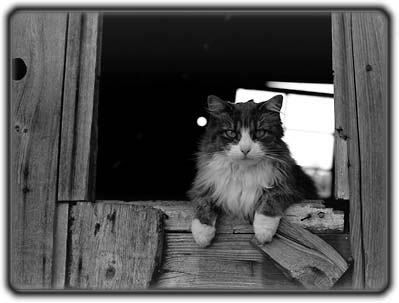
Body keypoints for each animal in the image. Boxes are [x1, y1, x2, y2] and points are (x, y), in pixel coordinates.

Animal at [189, 95, 318, 247]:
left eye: (260, 132)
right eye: (231, 133)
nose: (245, 149)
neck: (244, 171)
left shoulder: (291, 185)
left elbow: (271, 198)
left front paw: (263, 231)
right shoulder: (204, 185)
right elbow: (203, 202)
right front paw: (202, 234)